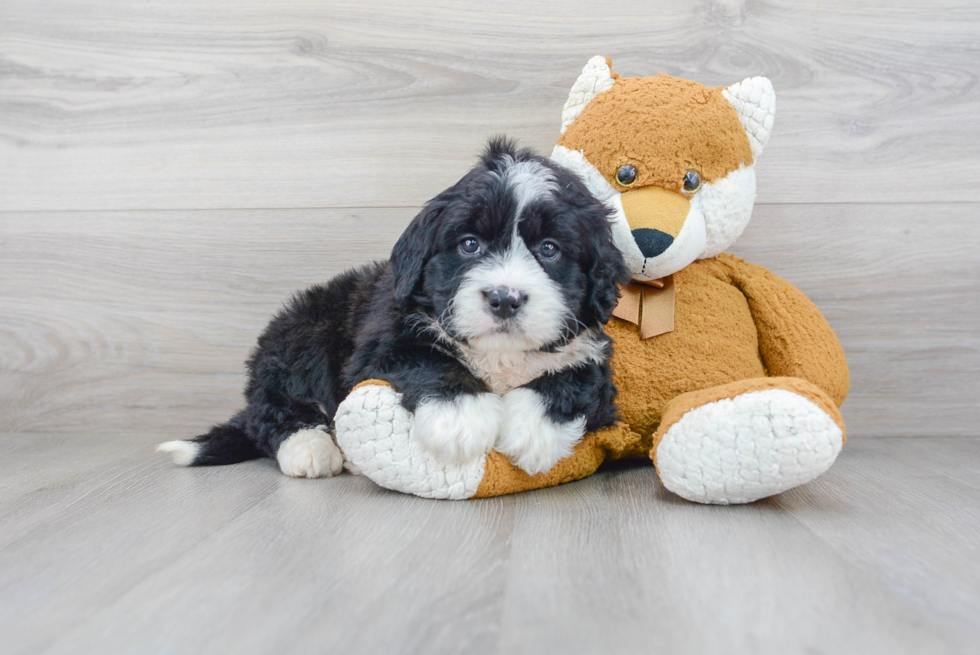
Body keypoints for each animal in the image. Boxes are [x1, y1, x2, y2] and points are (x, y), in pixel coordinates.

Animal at [160, 137, 628, 476]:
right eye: (469, 244)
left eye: (549, 249)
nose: (504, 299)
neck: (499, 356)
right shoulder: (380, 345)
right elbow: (429, 360)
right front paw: (461, 418)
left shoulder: (594, 356)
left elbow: (572, 380)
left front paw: (531, 433)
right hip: (302, 331)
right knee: (271, 410)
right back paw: (311, 449)